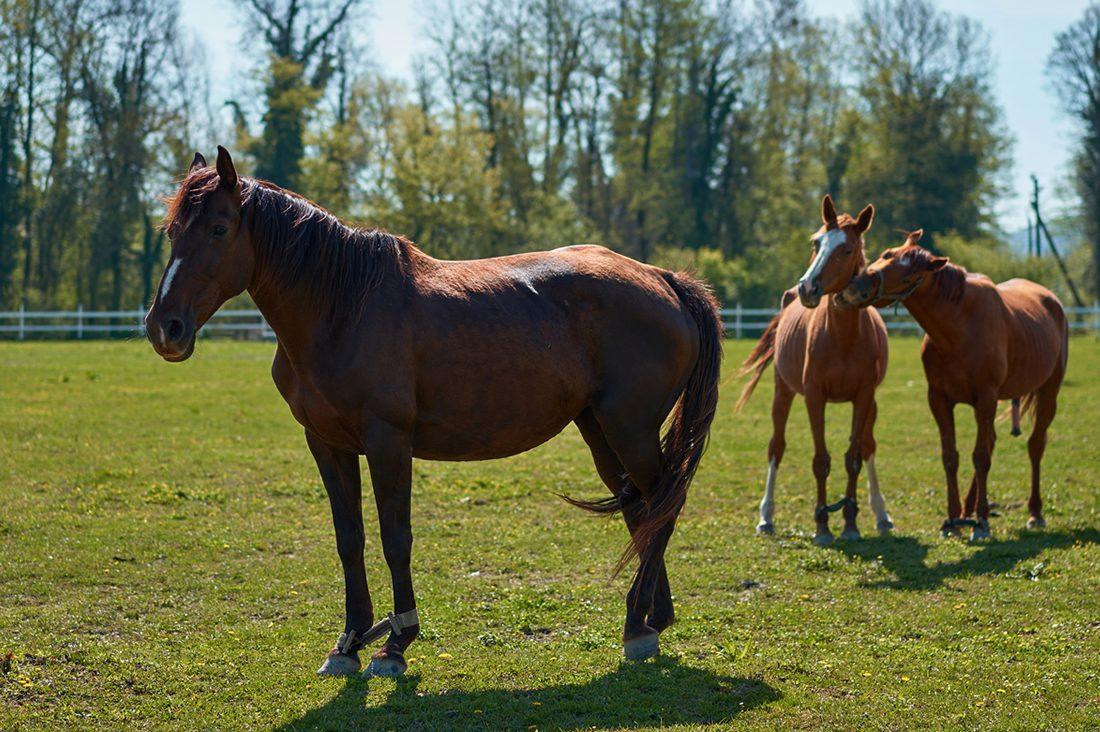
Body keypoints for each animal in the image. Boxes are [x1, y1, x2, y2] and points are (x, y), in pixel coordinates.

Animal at [143, 147, 723, 676]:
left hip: (631, 429)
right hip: (600, 429)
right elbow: (349, 539)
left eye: (219, 229)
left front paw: (395, 643)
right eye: (172, 231)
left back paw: (635, 623)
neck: (341, 308)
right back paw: (650, 619)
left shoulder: (388, 443)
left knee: (663, 503)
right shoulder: (326, 444)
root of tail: (663, 279)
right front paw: (349, 641)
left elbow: (395, 539)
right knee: (641, 509)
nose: (164, 328)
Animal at [737, 195, 892, 545]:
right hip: (782, 392)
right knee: (776, 447)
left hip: (873, 404)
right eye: (816, 242)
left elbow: (854, 458)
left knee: (869, 446)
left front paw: (850, 524)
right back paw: (766, 517)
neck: (843, 337)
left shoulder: (864, 397)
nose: (808, 287)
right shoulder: (814, 397)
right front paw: (822, 526)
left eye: (846, 249)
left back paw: (881, 514)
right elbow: (821, 461)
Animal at [842, 230, 1068, 540]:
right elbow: (952, 457)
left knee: (1035, 445)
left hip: (1048, 393)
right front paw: (952, 520)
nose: (856, 287)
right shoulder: (939, 399)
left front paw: (981, 524)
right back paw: (969, 509)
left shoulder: (985, 398)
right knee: (993, 441)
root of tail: (1052, 300)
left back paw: (1034, 514)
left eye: (910, 275)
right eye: (887, 254)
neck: (959, 327)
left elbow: (981, 457)